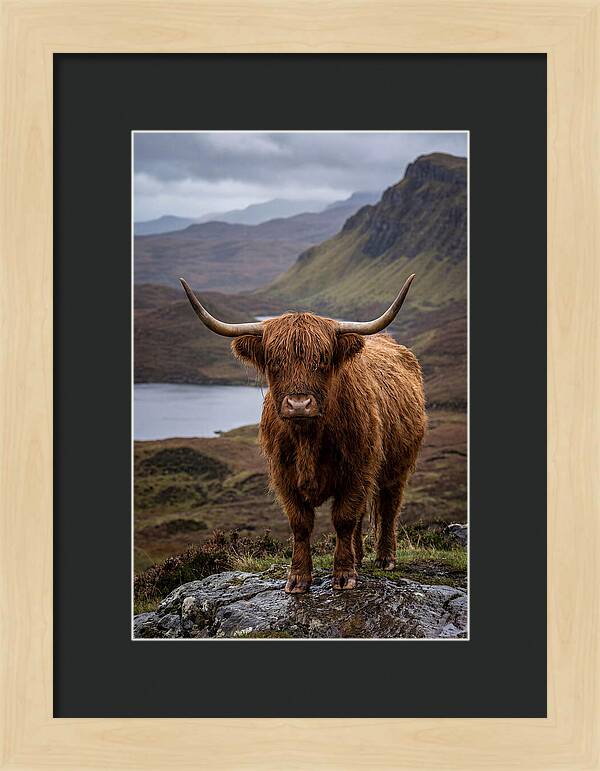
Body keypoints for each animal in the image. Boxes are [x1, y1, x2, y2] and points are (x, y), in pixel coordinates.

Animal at [180, 275, 426, 593]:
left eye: (322, 359)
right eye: (274, 361)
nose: (299, 404)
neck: (308, 438)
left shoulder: (357, 470)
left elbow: (344, 518)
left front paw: (344, 575)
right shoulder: (284, 476)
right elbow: (301, 524)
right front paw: (298, 578)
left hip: (397, 467)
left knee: (388, 507)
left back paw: (385, 558)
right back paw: (359, 557)